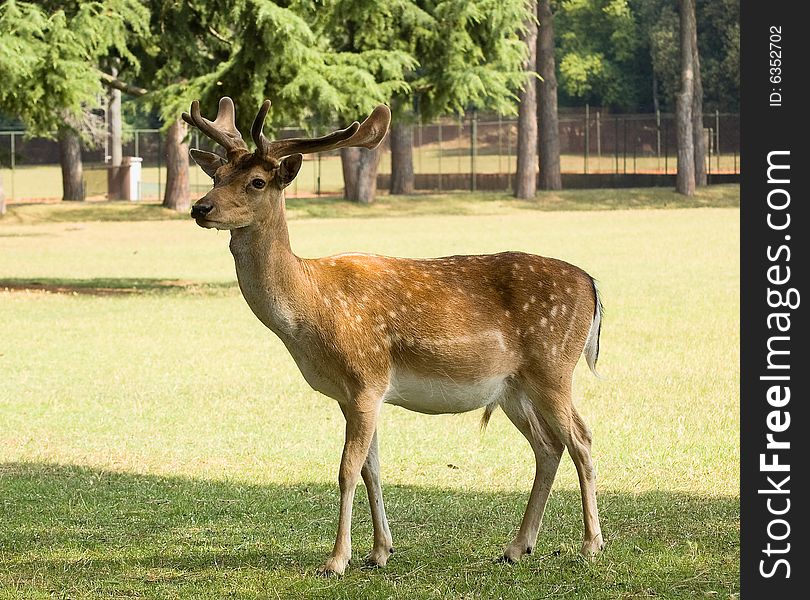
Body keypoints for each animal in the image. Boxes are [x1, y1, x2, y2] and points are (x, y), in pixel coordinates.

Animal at [181, 96, 600, 576]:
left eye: (256, 181)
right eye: (216, 176)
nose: (200, 208)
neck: (310, 312)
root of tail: (592, 285)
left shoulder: (366, 377)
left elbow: (346, 469)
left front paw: (337, 559)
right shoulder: (350, 394)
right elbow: (371, 469)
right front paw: (380, 551)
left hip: (554, 366)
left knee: (581, 439)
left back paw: (591, 545)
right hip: (514, 387)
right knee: (548, 447)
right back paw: (517, 546)